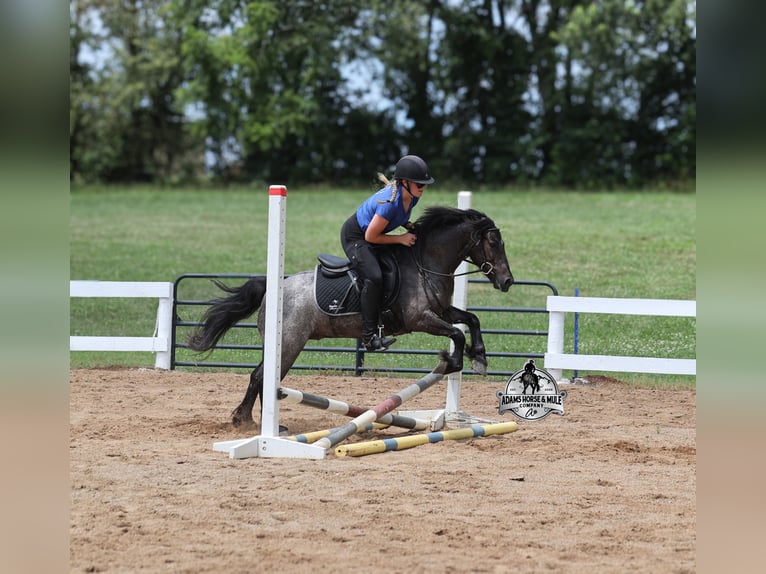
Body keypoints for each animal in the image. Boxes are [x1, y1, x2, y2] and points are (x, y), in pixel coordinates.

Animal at [188, 206, 514, 427]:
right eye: (494, 243)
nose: (507, 281)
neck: (425, 262)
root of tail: (275, 285)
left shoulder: (441, 310)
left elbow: (471, 320)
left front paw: (479, 356)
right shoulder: (419, 318)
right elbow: (457, 333)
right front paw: (451, 362)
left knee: (263, 376)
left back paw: (260, 423)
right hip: (290, 342)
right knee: (261, 376)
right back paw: (246, 421)